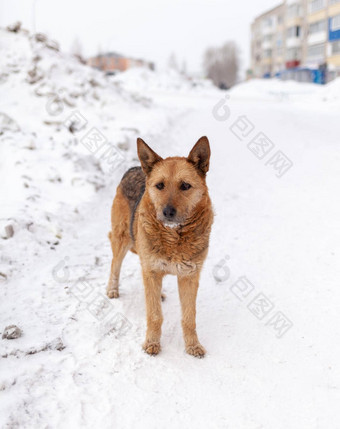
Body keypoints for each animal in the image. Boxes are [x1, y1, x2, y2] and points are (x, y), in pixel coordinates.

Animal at [107, 135, 212, 356]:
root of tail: (135, 168)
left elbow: (189, 318)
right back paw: (112, 289)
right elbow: (155, 315)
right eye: (160, 185)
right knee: (115, 264)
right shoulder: (152, 270)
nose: (168, 212)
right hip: (123, 239)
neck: (173, 237)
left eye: (185, 186)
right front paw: (152, 343)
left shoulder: (189, 276)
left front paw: (193, 345)